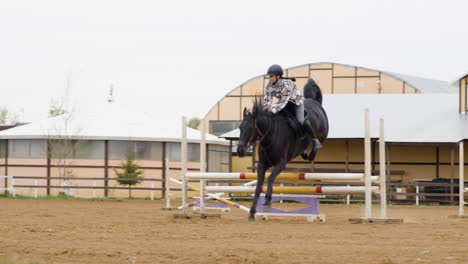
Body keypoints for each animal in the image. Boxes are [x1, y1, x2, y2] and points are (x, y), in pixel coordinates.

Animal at [236, 78, 328, 221]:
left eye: (250, 128)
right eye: (240, 127)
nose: (240, 150)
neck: (270, 136)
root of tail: (314, 102)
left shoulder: (281, 163)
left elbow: (270, 178)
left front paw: (268, 201)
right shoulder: (262, 165)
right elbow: (258, 187)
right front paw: (252, 212)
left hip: (323, 132)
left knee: (317, 141)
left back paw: (312, 153)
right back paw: (305, 154)